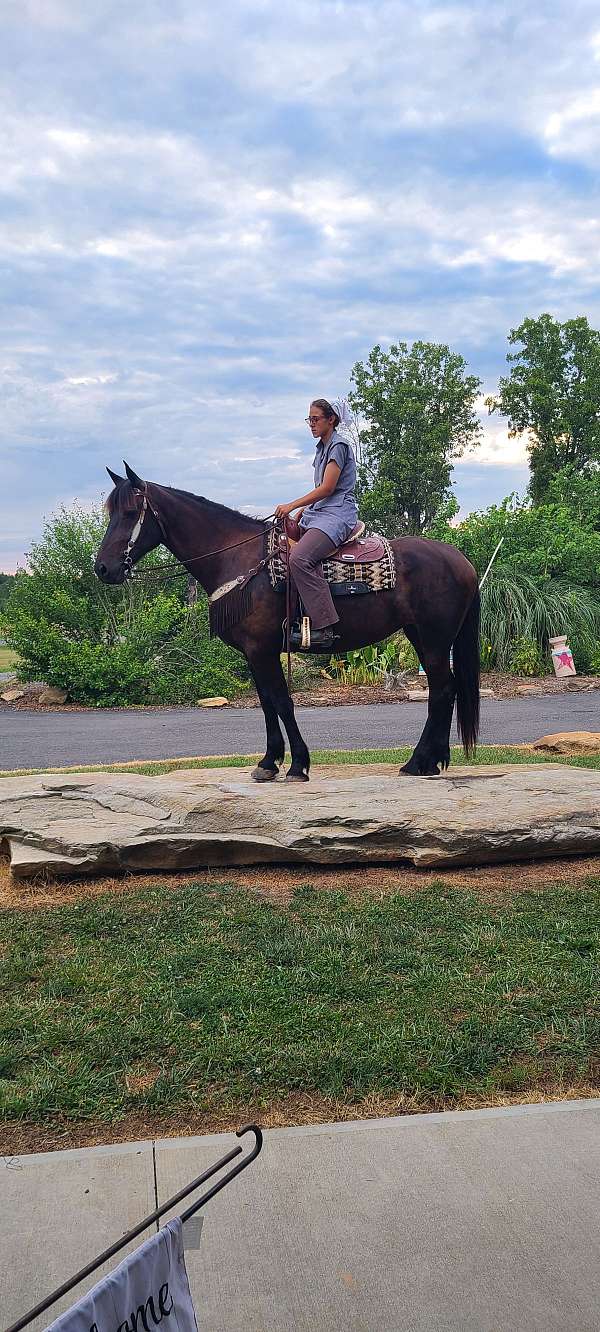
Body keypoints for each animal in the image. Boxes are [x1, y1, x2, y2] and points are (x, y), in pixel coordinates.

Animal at [94, 466, 477, 777]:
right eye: (111, 513)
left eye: (130, 512)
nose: (103, 568)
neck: (239, 559)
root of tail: (460, 560)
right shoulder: (253, 653)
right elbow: (266, 702)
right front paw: (269, 762)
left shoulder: (262, 649)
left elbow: (282, 701)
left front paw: (297, 765)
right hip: (420, 635)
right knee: (446, 689)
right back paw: (432, 762)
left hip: (434, 639)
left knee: (442, 690)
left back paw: (418, 762)